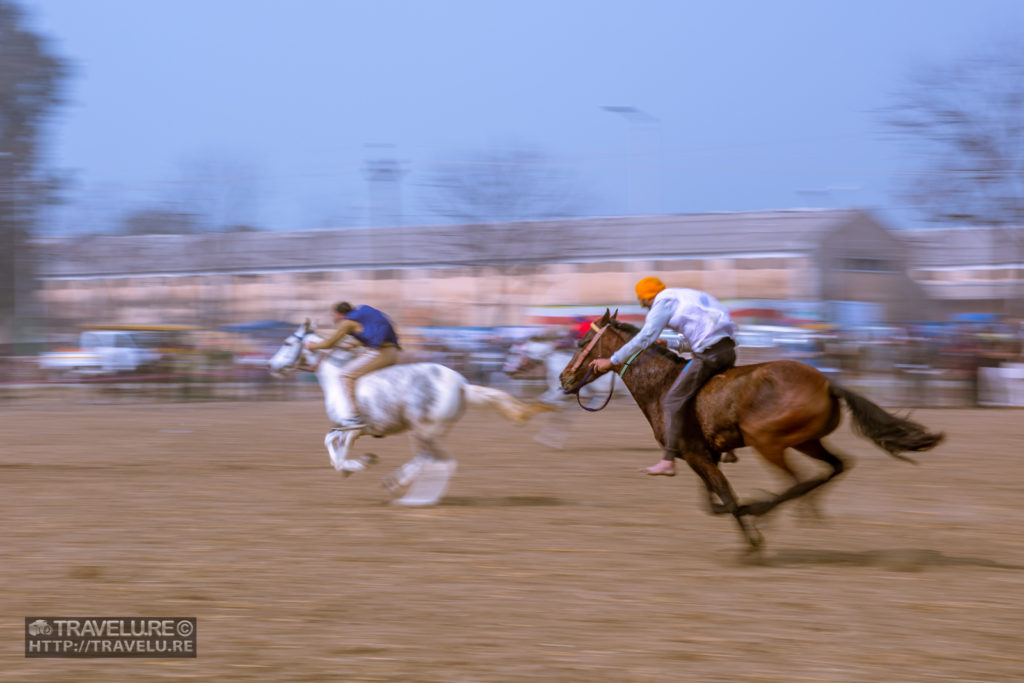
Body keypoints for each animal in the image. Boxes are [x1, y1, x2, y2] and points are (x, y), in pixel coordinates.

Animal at [268, 323, 548, 505]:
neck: (338, 376)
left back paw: (405, 492)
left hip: (422, 429)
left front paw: (358, 464)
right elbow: (335, 447)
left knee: (430, 461)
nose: (271, 366)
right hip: (434, 432)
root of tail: (461, 385)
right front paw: (353, 465)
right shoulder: (353, 429)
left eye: (288, 342)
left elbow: (333, 445)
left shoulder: (349, 425)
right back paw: (411, 491)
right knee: (440, 462)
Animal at [561, 309, 942, 548]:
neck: (662, 385)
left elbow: (726, 496)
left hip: (769, 443)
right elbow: (712, 498)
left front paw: (752, 542)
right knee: (834, 468)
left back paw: (765, 510)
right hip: (807, 441)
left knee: (797, 481)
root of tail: (827, 383)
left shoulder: (695, 453)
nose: (564, 378)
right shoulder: (706, 454)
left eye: (580, 344)